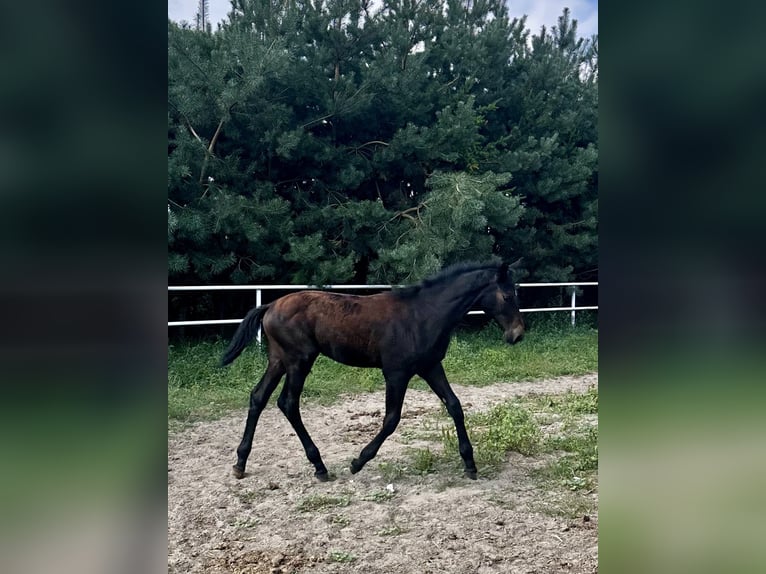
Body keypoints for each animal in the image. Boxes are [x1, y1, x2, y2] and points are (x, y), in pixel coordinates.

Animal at [219, 260, 524, 482]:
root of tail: (270, 305)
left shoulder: (430, 366)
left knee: (258, 397)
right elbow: (391, 420)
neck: (423, 315)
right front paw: (358, 461)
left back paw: (240, 463)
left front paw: (470, 463)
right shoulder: (396, 373)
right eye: (507, 295)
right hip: (298, 361)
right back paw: (319, 466)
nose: (517, 334)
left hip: (279, 360)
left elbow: (454, 406)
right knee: (288, 403)